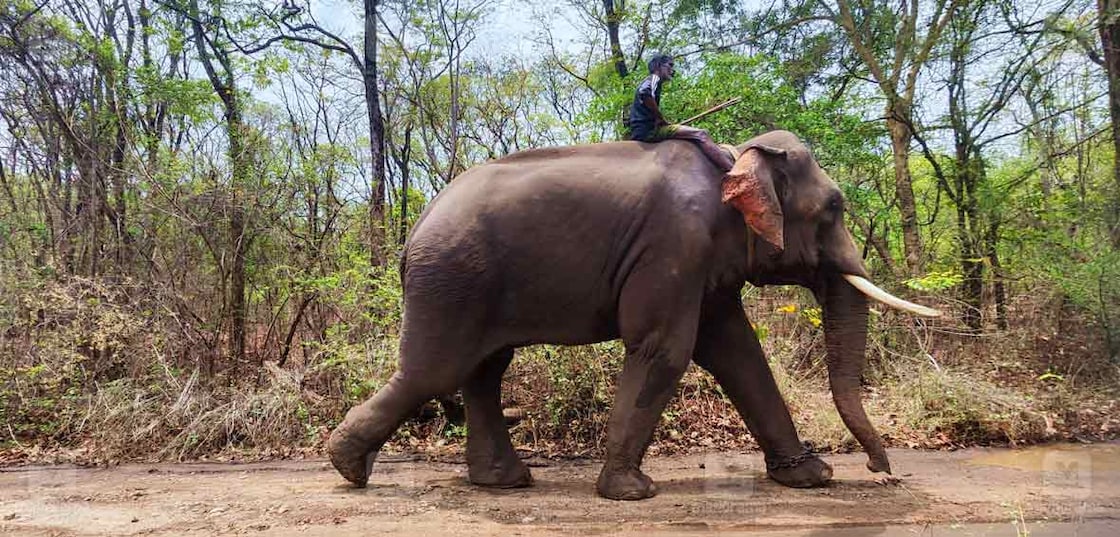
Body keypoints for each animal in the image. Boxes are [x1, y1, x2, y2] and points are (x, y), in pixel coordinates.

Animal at [327, 129, 936, 500]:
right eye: (834, 207)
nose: (881, 471)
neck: (736, 157)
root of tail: (416, 226)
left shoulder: (704, 263)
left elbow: (737, 352)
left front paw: (811, 478)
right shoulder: (674, 245)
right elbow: (665, 347)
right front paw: (630, 492)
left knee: (484, 371)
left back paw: (505, 481)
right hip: (452, 280)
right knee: (437, 371)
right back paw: (349, 468)